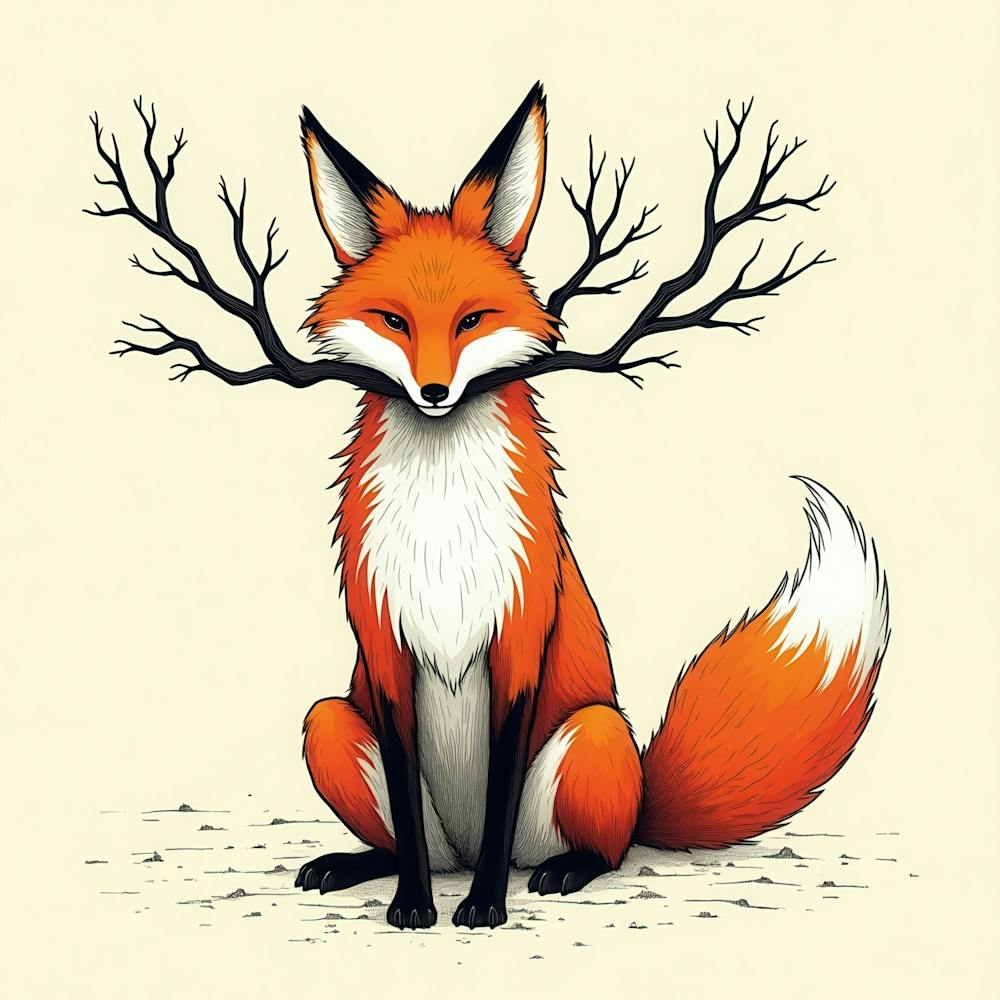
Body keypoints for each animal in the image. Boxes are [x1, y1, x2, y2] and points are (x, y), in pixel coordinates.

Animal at [292, 84, 890, 930]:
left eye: (471, 320)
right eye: (395, 322)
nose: (435, 391)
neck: (443, 531)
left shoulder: (520, 636)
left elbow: (504, 779)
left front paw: (484, 908)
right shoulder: (383, 645)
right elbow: (405, 804)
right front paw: (413, 904)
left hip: (595, 733)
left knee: (594, 849)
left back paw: (558, 871)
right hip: (329, 722)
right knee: (411, 839)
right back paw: (360, 864)